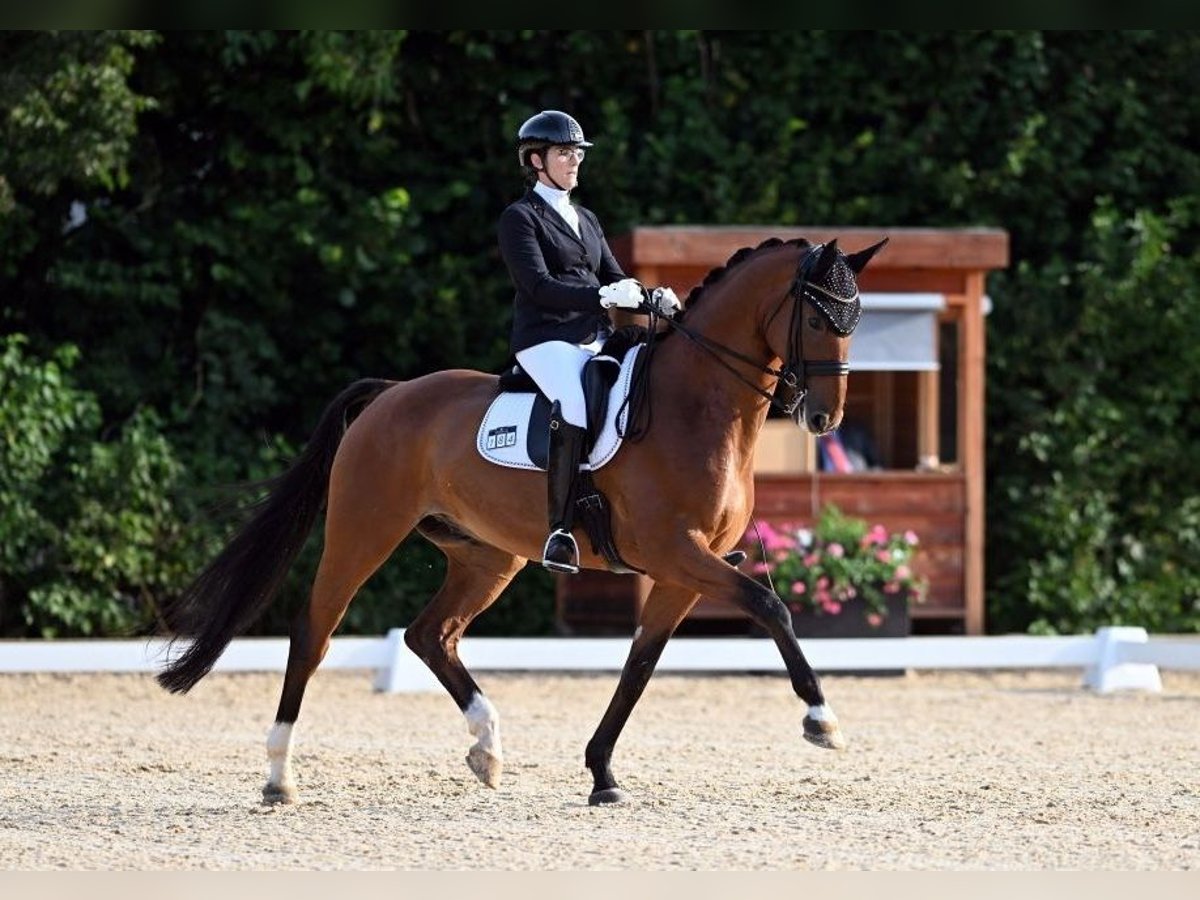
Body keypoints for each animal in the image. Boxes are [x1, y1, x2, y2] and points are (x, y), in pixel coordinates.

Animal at [159, 236, 888, 806]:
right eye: (818, 316)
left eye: (855, 318)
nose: (823, 418)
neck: (696, 405)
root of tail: (390, 395)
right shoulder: (677, 553)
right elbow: (772, 607)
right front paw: (822, 721)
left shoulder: (685, 569)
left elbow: (640, 663)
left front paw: (601, 774)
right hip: (363, 531)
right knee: (314, 630)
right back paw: (279, 776)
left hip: (488, 555)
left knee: (431, 635)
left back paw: (487, 749)